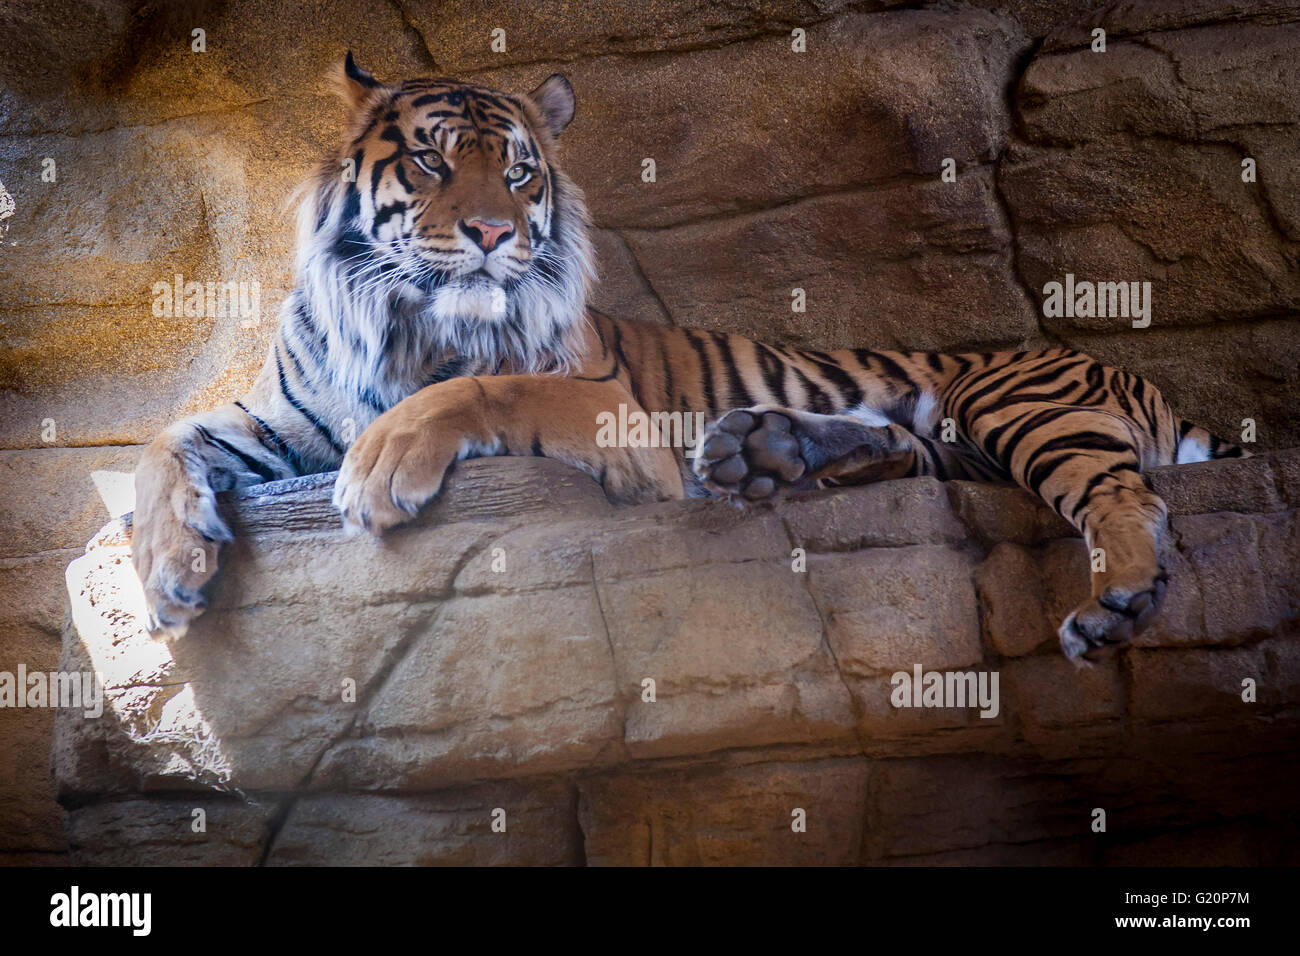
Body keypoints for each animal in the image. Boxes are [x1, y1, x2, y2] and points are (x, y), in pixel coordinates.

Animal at [131, 54, 1248, 665]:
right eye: (431, 159)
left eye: (520, 171)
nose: (495, 233)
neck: (406, 320)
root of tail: (1136, 375)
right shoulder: (278, 416)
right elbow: (160, 443)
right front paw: (172, 575)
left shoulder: (607, 401)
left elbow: (486, 382)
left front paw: (379, 469)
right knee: (906, 453)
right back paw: (766, 455)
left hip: (1021, 402)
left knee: (1124, 495)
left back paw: (1115, 603)